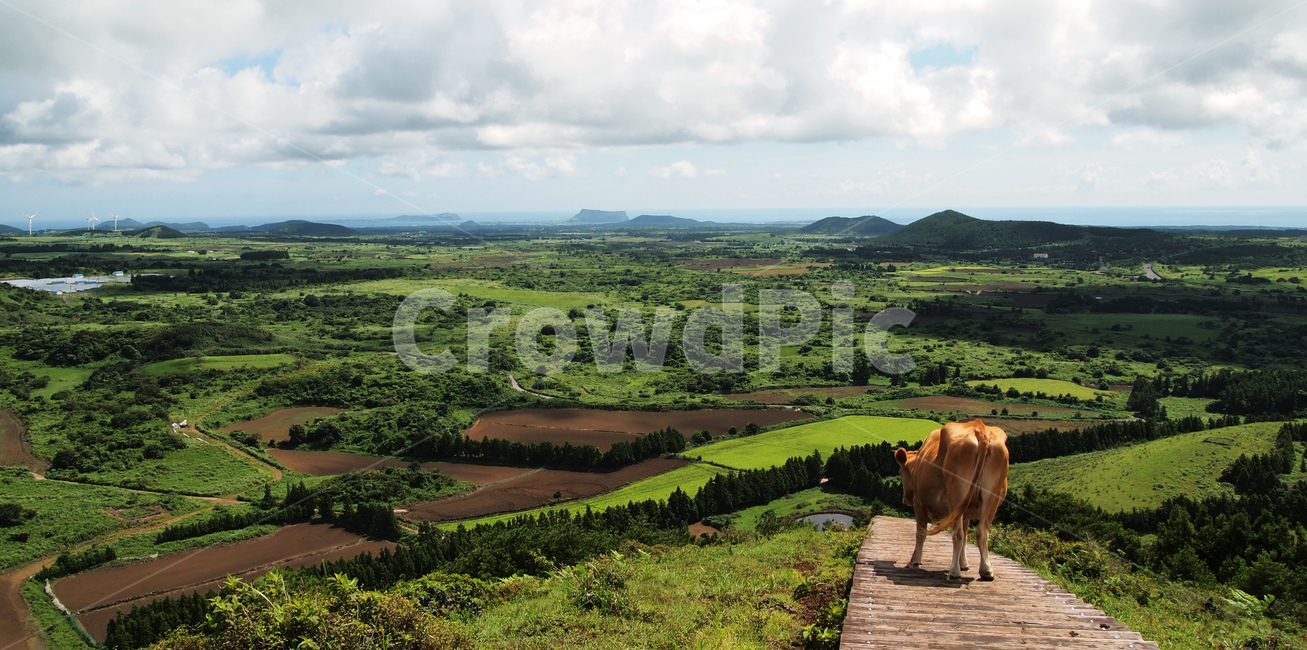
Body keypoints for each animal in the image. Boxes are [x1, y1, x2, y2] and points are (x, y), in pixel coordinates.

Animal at [894, 419, 1009, 580]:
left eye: (900, 472)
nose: (905, 499)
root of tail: (979, 428)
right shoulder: (966, 513)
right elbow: (967, 536)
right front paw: (964, 564)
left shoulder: (919, 503)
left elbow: (920, 532)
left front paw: (914, 561)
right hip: (990, 495)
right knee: (982, 532)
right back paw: (986, 570)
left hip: (957, 494)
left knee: (958, 534)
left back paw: (954, 571)